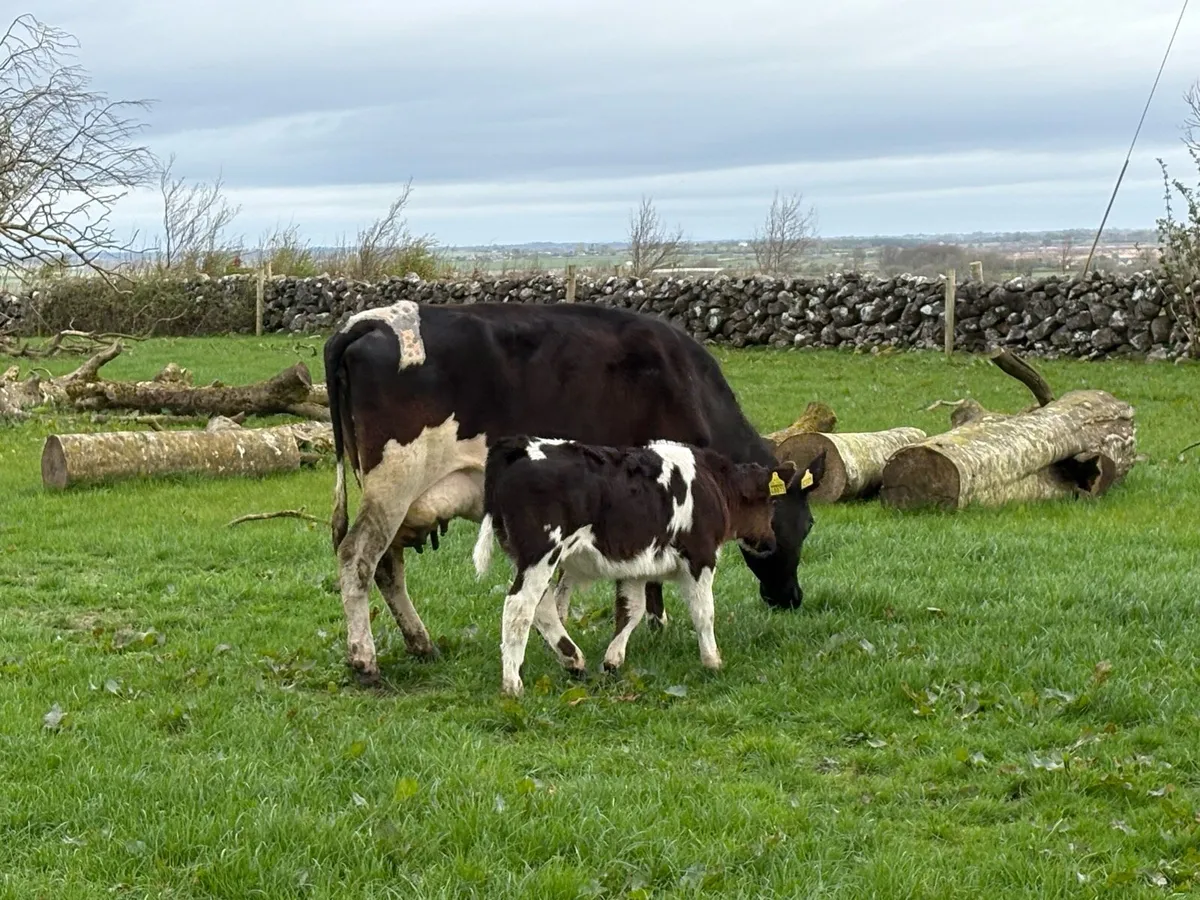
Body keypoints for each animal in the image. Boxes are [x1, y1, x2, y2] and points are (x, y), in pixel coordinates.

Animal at [471, 435, 822, 696]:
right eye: (771, 502)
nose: (768, 543)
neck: (712, 483)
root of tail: (519, 448)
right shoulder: (700, 557)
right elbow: (704, 612)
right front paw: (712, 661)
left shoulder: (636, 566)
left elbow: (632, 611)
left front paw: (613, 661)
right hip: (541, 555)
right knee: (519, 608)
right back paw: (513, 684)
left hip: (531, 560)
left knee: (542, 608)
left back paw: (574, 660)